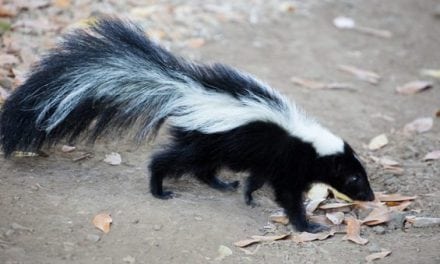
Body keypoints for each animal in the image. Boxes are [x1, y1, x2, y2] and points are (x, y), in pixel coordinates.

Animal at [0, 19, 374, 233]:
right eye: (355, 178)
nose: (370, 197)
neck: (307, 141)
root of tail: (186, 91)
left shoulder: (272, 162)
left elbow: (257, 179)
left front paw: (248, 196)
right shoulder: (285, 161)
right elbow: (287, 196)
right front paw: (307, 226)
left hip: (211, 144)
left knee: (203, 169)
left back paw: (222, 184)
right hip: (204, 142)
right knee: (168, 160)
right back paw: (159, 189)